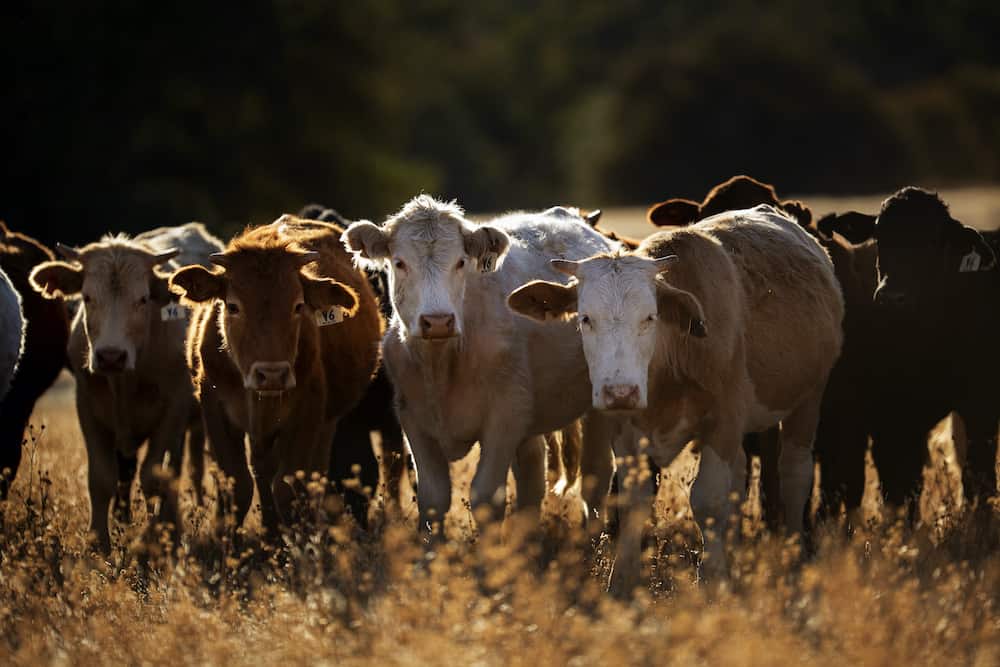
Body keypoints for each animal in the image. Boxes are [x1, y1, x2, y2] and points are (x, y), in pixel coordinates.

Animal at [29, 223, 221, 553]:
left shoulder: (173, 411)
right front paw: (99, 543)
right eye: (87, 297)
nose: (110, 356)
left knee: (187, 465)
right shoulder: (88, 407)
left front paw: (155, 539)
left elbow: (153, 477)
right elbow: (102, 478)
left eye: (143, 299)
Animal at [169, 215, 382, 536]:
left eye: (298, 306)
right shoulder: (215, 411)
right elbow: (238, 485)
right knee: (262, 472)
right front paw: (225, 541)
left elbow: (288, 486)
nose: (271, 375)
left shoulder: (307, 415)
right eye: (233, 306)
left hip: (326, 422)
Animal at [342, 197, 621, 537]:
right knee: (532, 478)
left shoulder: (504, 418)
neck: (443, 361)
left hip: (597, 403)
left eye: (461, 262)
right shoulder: (413, 420)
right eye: (399, 263)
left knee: (595, 475)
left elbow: (486, 498)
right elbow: (433, 498)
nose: (437, 321)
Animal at [509, 205, 844, 594]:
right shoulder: (626, 431)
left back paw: (793, 556)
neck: (672, 357)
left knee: (794, 474)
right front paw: (622, 582)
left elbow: (709, 498)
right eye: (585, 318)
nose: (620, 392)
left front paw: (713, 579)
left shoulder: (723, 420)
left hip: (808, 398)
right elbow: (634, 500)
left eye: (649, 317)